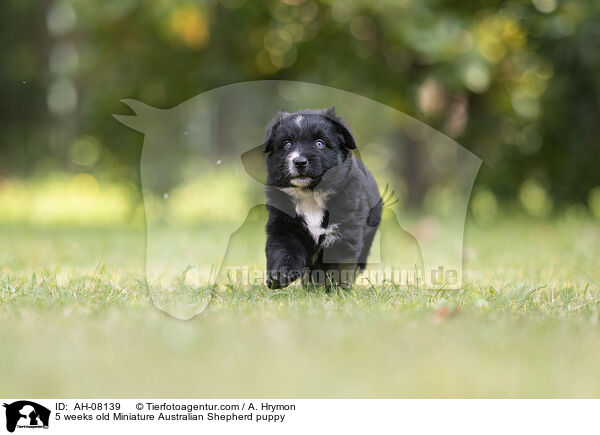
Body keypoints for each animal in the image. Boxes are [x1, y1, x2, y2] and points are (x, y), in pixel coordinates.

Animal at [264, 107, 384, 292]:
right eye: (287, 144)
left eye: (319, 143)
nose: (299, 162)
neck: (310, 195)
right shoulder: (284, 227)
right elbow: (283, 251)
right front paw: (279, 277)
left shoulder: (345, 233)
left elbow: (339, 265)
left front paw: (336, 290)